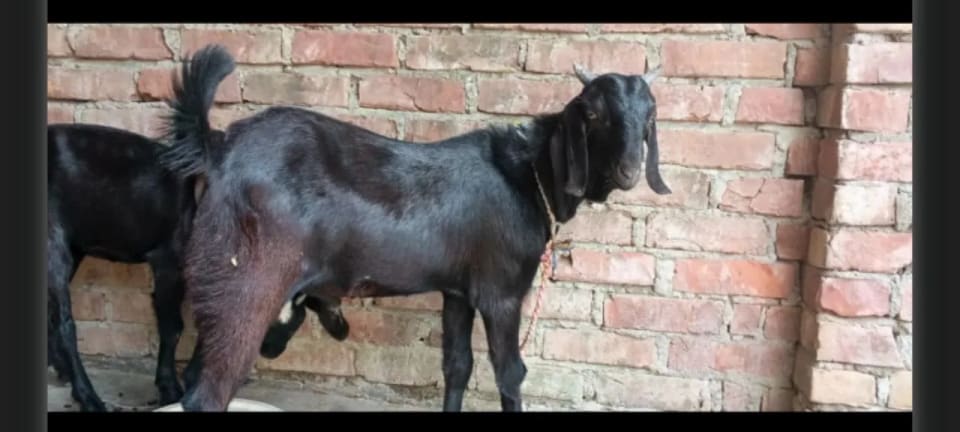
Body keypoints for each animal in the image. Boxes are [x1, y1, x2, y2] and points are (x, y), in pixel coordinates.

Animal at [46, 122, 348, 411]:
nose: (271, 350)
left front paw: (193, 379)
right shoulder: (168, 262)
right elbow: (173, 327)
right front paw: (170, 389)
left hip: (75, 248)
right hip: (55, 244)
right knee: (64, 324)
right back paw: (88, 397)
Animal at [161, 44, 670, 412]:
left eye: (650, 114)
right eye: (593, 114)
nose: (629, 170)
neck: (527, 174)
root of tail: (218, 147)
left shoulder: (458, 291)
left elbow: (457, 365)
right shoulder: (501, 291)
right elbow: (510, 372)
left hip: (219, 287)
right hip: (246, 282)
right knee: (210, 393)